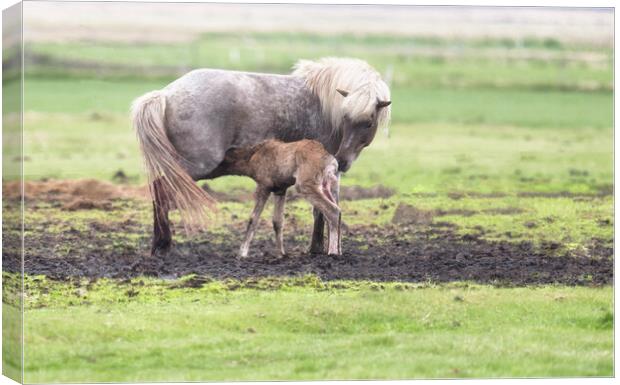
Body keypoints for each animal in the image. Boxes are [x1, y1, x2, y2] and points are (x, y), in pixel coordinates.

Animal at [133, 57, 390, 255]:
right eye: (346, 118)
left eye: (368, 123)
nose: (343, 160)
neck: (325, 107)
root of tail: (165, 94)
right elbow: (322, 210)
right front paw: (317, 248)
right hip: (194, 167)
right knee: (162, 191)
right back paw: (163, 244)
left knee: (158, 191)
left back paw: (159, 244)